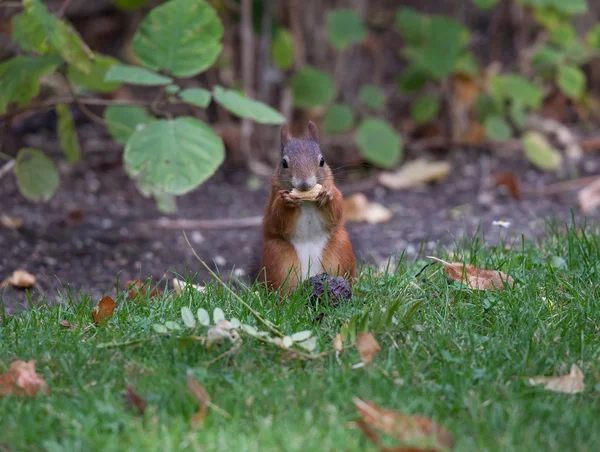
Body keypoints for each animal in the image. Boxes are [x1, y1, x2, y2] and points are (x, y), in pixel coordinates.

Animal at [258, 120, 356, 292]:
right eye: (284, 163)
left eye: (322, 161)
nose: (305, 184)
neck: (307, 200)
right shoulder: (273, 198)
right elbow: (276, 220)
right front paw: (287, 202)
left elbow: (337, 212)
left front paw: (328, 194)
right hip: (278, 261)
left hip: (341, 251)